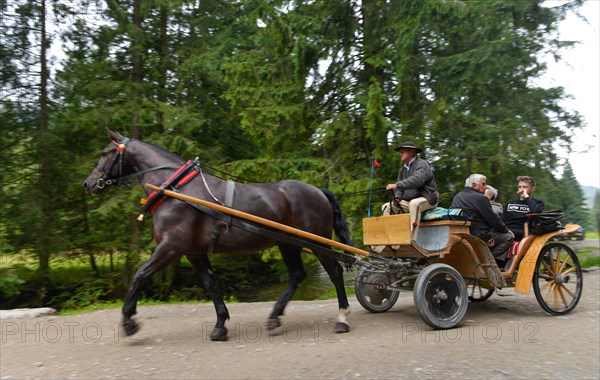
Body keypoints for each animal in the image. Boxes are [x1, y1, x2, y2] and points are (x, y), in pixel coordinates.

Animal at [84, 129, 356, 340]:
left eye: (105, 153)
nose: (88, 184)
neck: (175, 189)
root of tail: (318, 191)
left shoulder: (171, 247)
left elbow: (140, 274)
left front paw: (128, 321)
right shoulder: (193, 252)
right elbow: (211, 285)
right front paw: (220, 325)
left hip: (316, 241)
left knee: (335, 271)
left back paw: (342, 317)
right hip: (288, 243)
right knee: (297, 275)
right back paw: (274, 317)